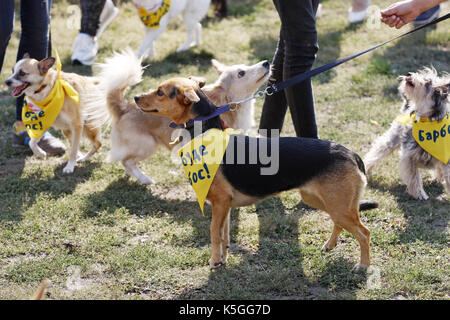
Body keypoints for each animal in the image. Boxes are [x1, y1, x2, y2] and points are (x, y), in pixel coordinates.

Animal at [96, 50, 268, 185]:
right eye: (241, 73)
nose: (266, 62)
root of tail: (124, 107)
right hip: (147, 144)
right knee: (126, 161)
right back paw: (144, 179)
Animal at [366, 68, 450, 200]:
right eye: (420, 73)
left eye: (428, 81)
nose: (409, 74)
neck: (427, 120)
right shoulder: (408, 157)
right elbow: (414, 177)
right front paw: (419, 193)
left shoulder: (446, 157)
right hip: (391, 140)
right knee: (374, 154)